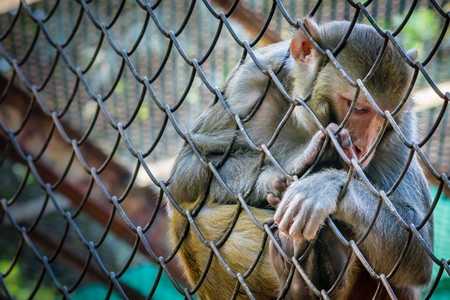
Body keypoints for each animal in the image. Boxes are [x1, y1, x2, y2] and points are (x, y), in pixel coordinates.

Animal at [165, 17, 432, 298]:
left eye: (385, 120)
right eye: (358, 108)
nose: (363, 148)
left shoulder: (403, 125)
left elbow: (417, 238)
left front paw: (322, 186)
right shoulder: (249, 83)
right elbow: (187, 169)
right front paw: (290, 167)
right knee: (186, 215)